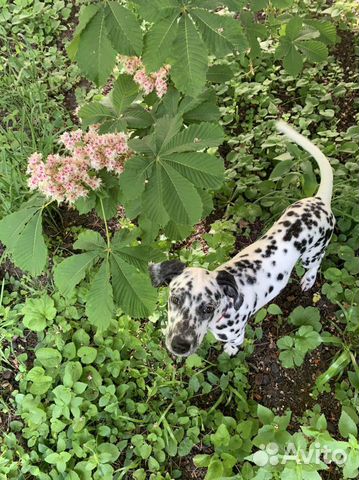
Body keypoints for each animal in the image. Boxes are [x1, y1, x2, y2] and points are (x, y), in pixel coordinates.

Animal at [148, 122, 334, 358]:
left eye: (208, 308)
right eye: (175, 299)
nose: (180, 345)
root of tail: (320, 201)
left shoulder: (237, 333)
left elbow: (234, 344)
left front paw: (230, 350)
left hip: (313, 253)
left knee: (316, 264)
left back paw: (308, 279)